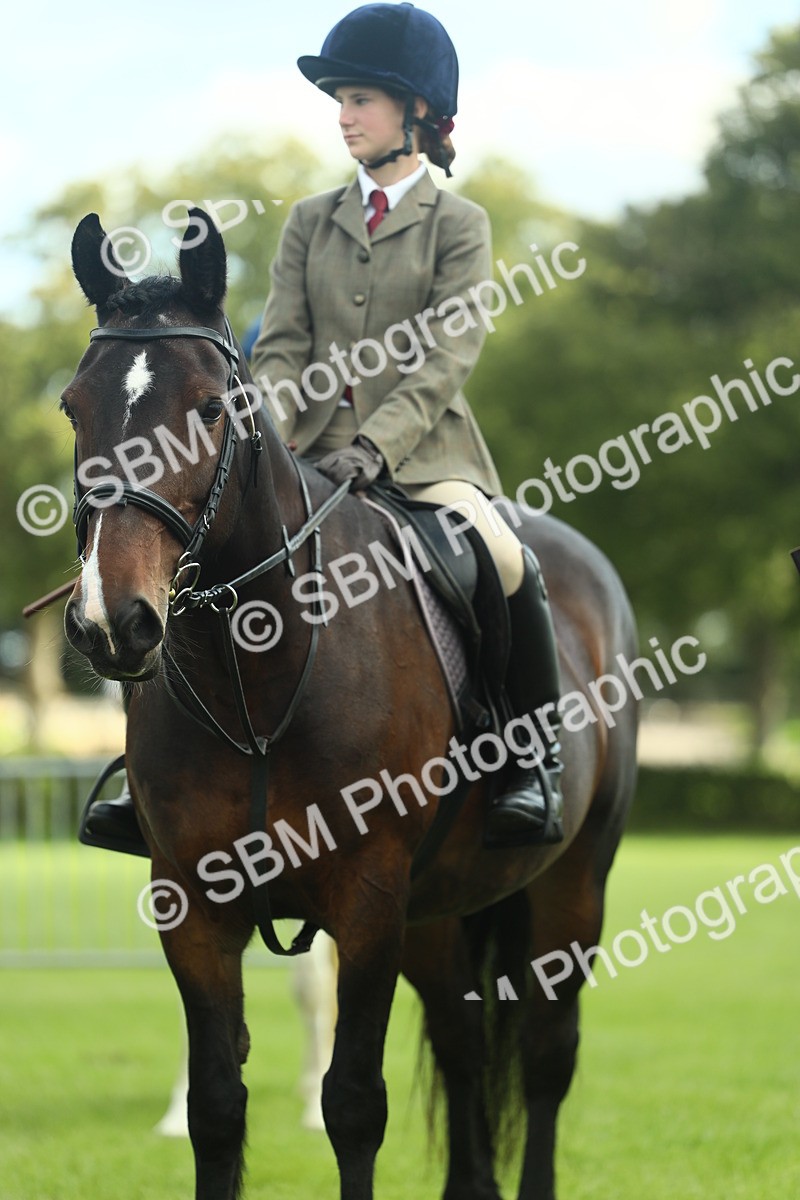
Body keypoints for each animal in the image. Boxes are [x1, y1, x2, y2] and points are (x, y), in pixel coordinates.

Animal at [62, 207, 638, 1200]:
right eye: (72, 407)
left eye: (210, 408)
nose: (112, 622)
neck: (253, 672)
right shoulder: (193, 900)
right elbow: (218, 1107)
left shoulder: (366, 897)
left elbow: (354, 1104)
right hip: (437, 912)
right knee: (460, 1041)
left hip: (572, 884)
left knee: (544, 1053)